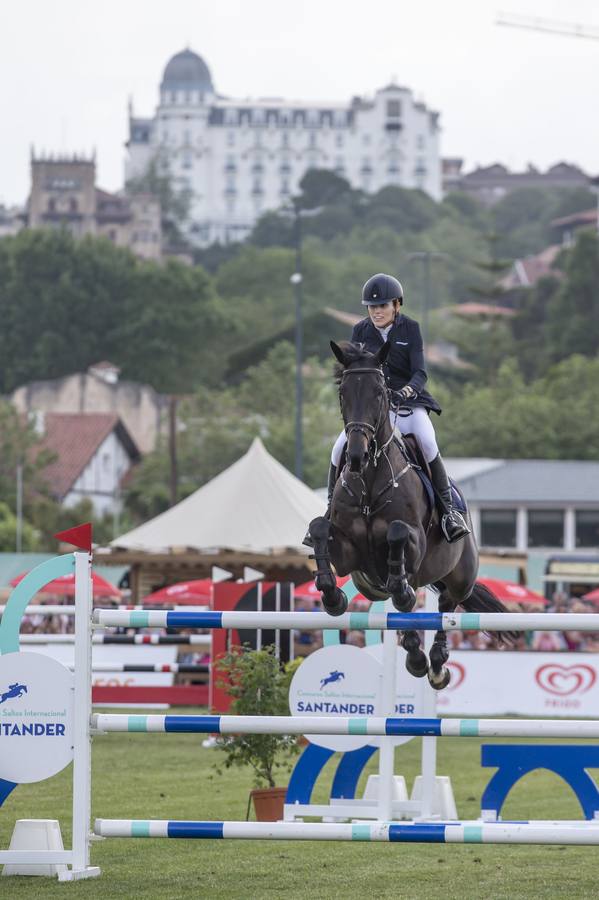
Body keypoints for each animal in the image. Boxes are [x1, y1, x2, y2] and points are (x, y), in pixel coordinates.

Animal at [308, 342, 512, 688]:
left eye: (379, 393)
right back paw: (416, 654)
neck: (370, 481)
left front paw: (400, 589)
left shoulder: (415, 543)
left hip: (461, 577)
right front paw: (332, 596)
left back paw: (436, 664)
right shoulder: (349, 553)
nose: (357, 456)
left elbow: (398, 533)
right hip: (372, 585)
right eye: (342, 393)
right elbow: (320, 527)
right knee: (406, 613)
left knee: (445, 608)